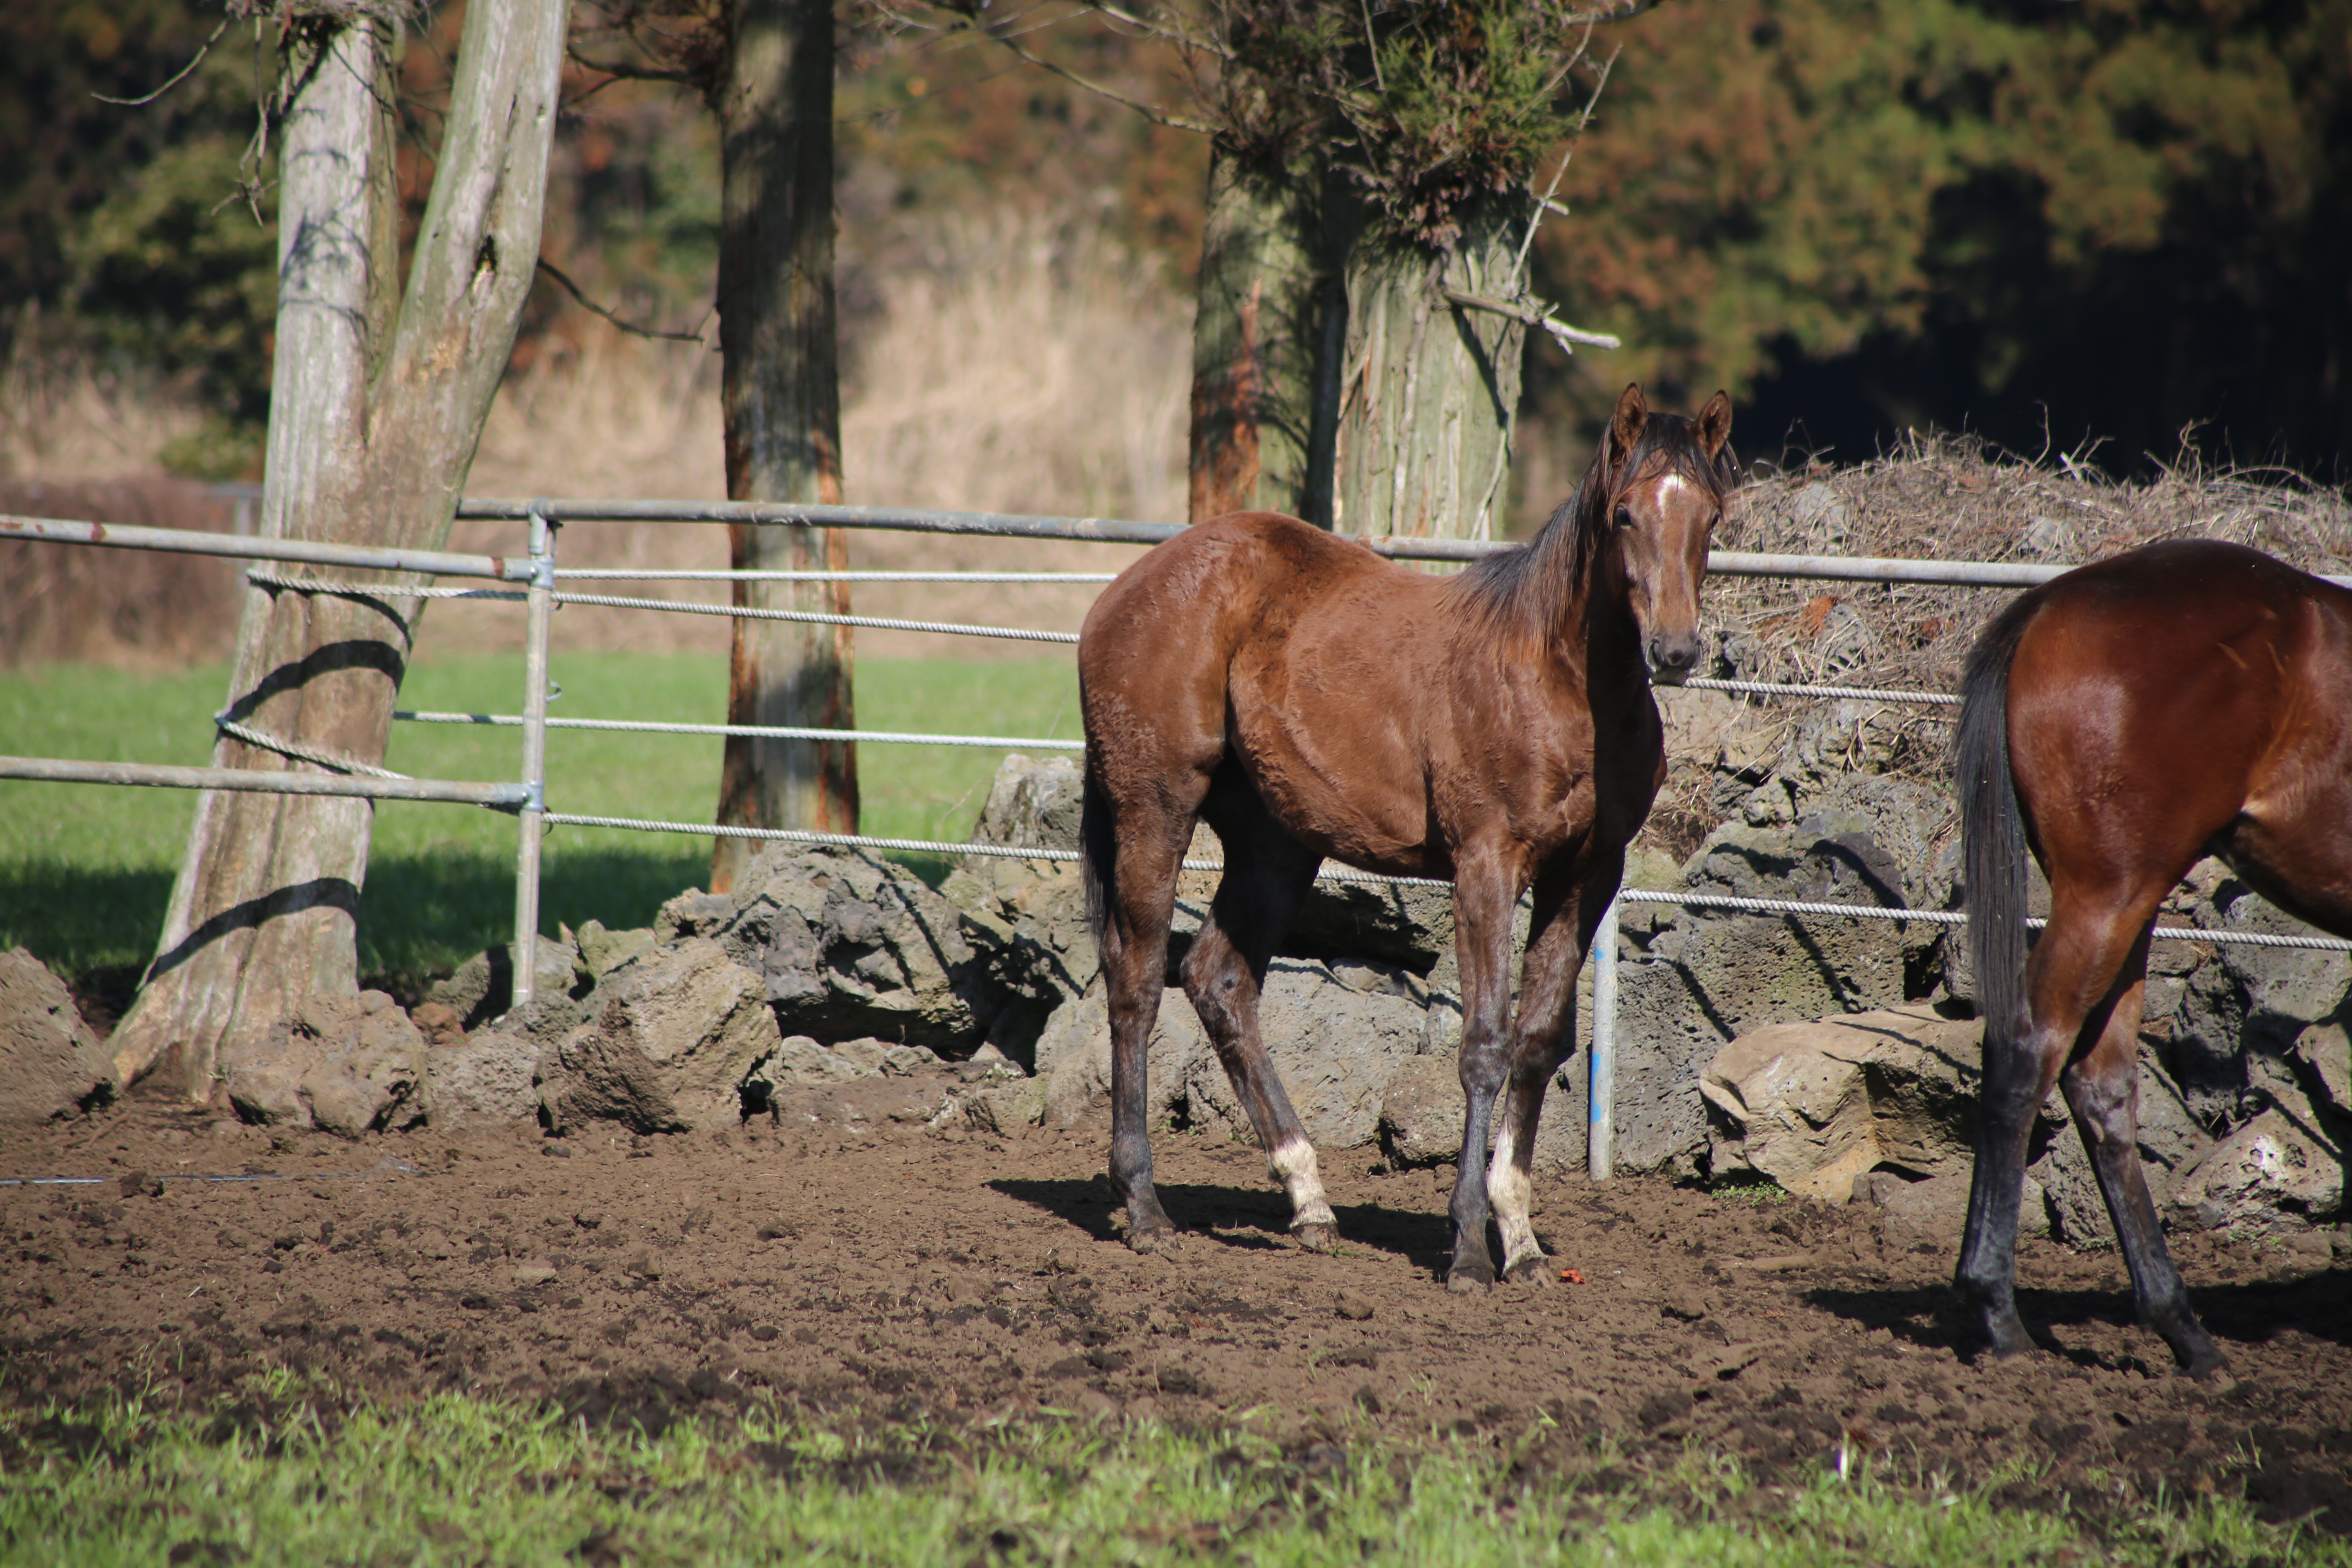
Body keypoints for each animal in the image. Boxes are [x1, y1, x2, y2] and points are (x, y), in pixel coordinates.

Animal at [1077, 385, 1740, 1297]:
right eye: (1626, 514)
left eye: (1710, 515)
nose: (1674, 651)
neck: (1558, 683)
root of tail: (1126, 590)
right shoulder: (1486, 865)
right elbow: (1485, 1045)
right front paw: (1467, 1249)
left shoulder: (1585, 876)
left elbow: (1539, 1043)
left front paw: (1520, 1238)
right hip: (1155, 809)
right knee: (1137, 981)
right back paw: (1145, 1207)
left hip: (1277, 845)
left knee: (1219, 981)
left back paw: (1310, 1202)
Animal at [1947, 541, 2352, 1373]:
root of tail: (2045, 603)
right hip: (2111, 893)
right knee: (2027, 1053)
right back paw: (2000, 1317)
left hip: (2128, 903)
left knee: (2100, 1084)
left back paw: (2181, 1327)